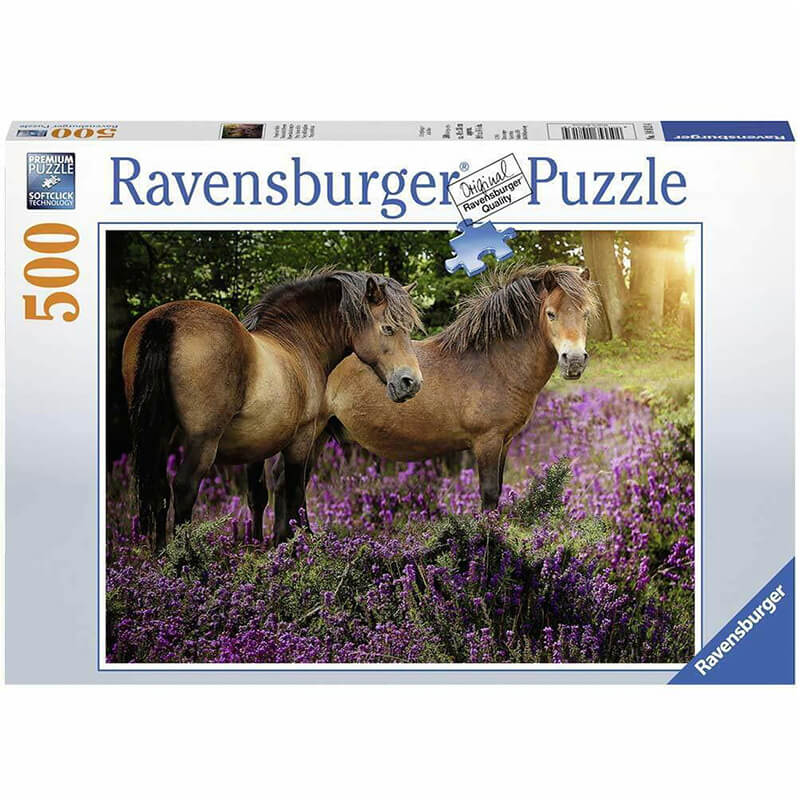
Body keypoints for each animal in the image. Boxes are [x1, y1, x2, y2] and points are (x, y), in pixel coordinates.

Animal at [122, 270, 423, 551]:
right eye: (388, 328)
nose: (411, 382)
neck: (297, 341)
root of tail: (167, 319)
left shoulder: (257, 446)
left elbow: (260, 494)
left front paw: (261, 544)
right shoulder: (303, 437)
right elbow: (295, 489)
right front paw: (300, 541)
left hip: (159, 435)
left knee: (159, 491)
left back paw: (162, 556)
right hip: (203, 441)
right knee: (184, 488)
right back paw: (186, 559)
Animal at [269, 263, 597, 518]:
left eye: (585, 314)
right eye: (551, 314)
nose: (574, 360)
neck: (495, 363)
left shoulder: (504, 442)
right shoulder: (487, 442)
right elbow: (490, 494)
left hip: (318, 435)